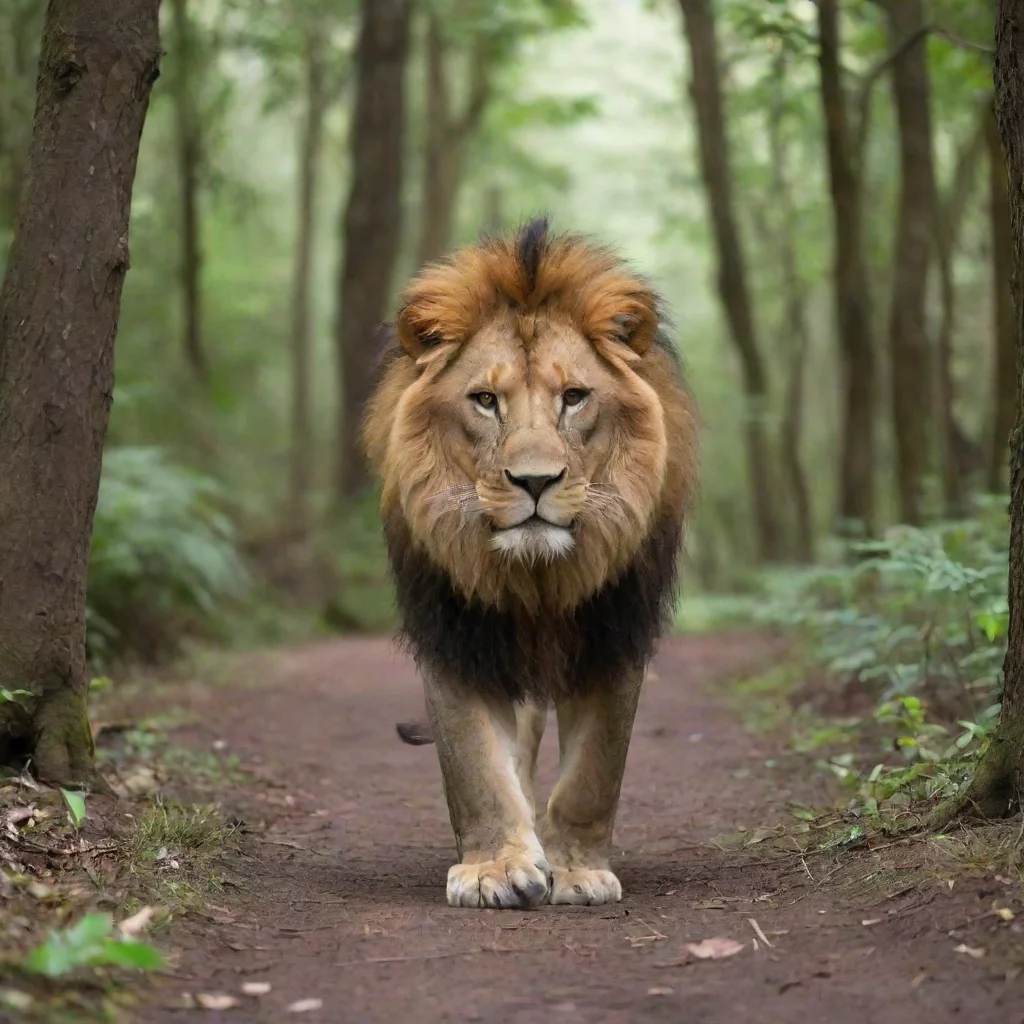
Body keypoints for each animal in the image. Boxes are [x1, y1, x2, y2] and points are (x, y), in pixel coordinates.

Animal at [362, 217, 698, 909]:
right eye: (486, 400)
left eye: (574, 397)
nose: (536, 481)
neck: (537, 578)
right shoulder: (457, 633)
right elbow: (475, 766)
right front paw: (495, 866)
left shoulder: (613, 633)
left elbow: (594, 774)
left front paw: (576, 871)